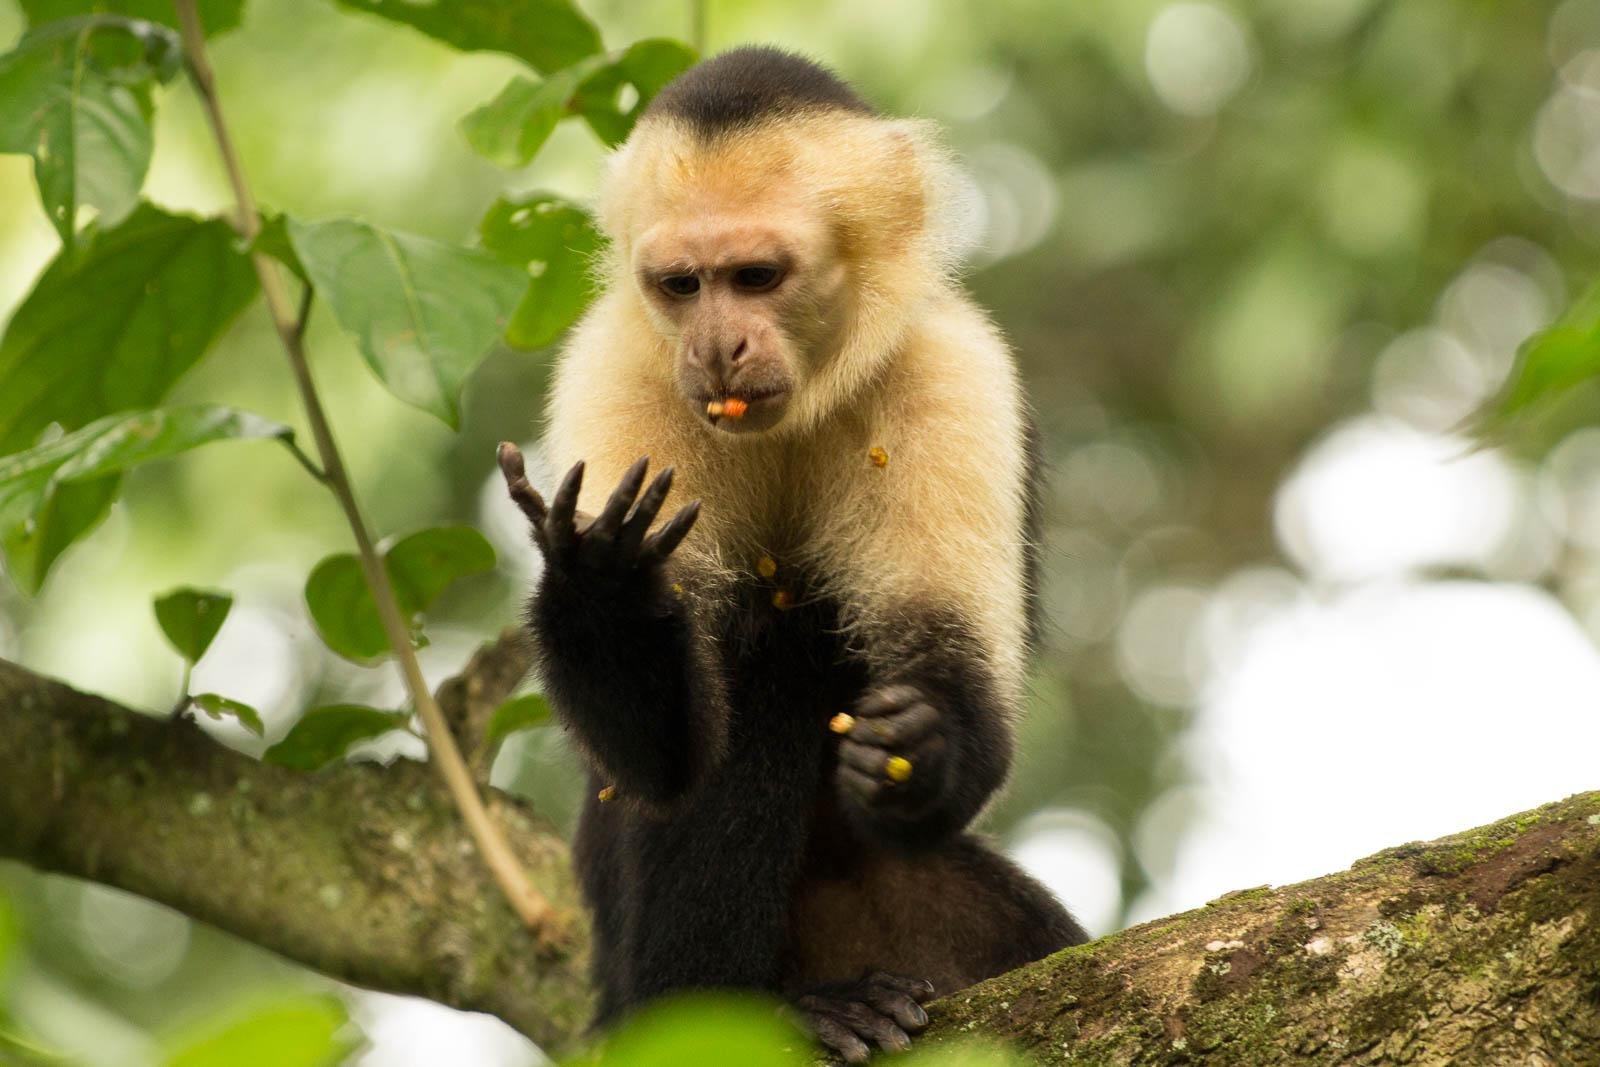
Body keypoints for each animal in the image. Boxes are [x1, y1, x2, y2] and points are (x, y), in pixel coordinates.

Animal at [497, 46, 1086, 1064]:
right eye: (683, 286)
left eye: (757, 275)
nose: (717, 347)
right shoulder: (618, 368)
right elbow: (661, 763)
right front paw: (607, 584)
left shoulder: (950, 369)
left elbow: (960, 679)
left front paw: (920, 745)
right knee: (758, 663)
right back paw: (749, 1009)